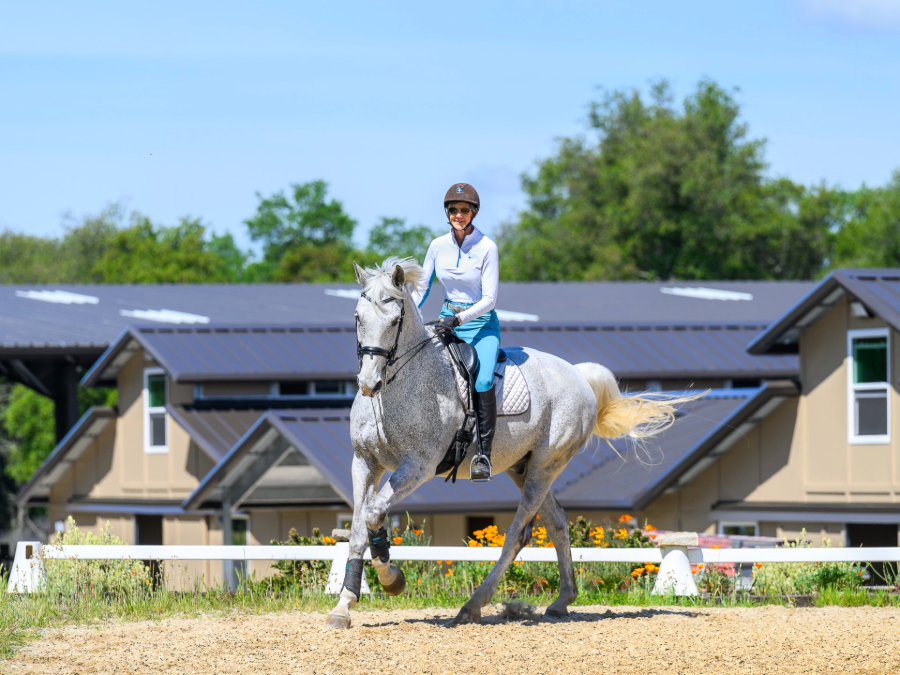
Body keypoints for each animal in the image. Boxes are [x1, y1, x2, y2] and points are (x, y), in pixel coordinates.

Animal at [326, 258, 692, 628]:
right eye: (358, 317)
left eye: (394, 320)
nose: (368, 383)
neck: (396, 389)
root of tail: (577, 374)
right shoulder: (365, 462)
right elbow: (358, 526)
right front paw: (344, 605)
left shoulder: (418, 465)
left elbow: (373, 513)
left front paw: (392, 579)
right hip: (522, 467)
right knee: (557, 522)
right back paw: (562, 601)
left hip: (546, 465)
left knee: (518, 533)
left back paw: (473, 605)